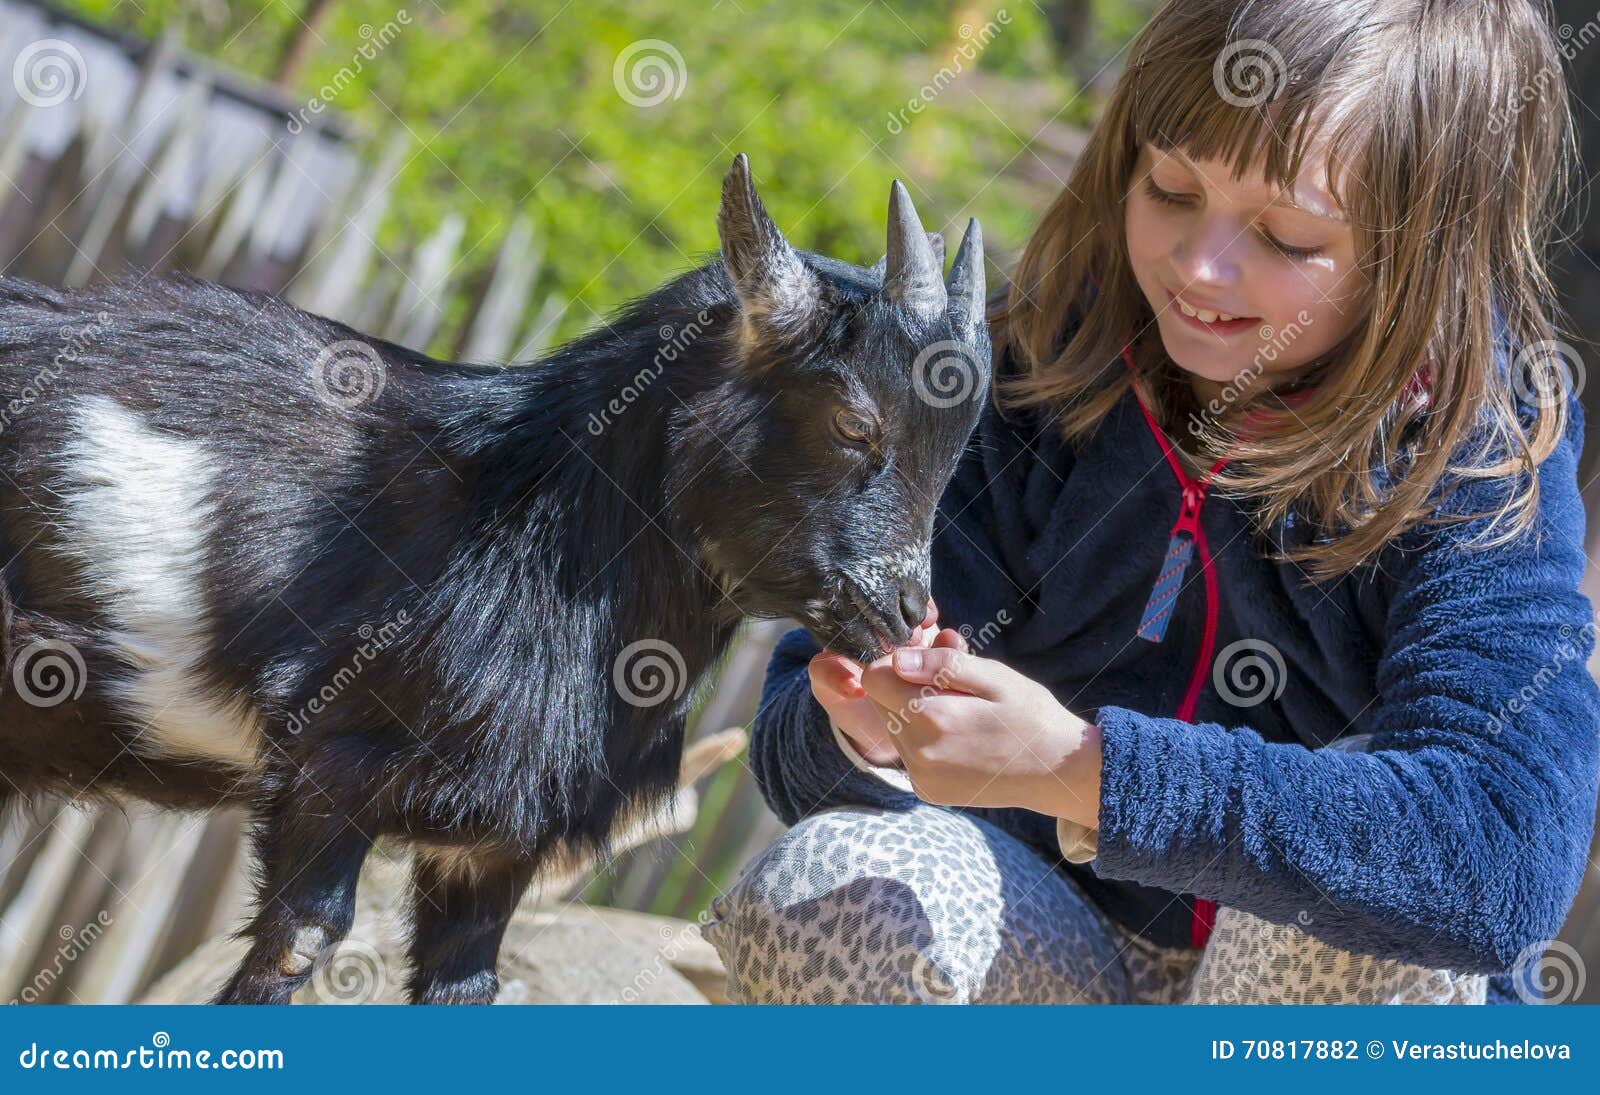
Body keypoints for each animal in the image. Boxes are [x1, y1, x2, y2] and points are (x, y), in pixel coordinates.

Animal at [0, 154, 990, 1004]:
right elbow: (298, 946)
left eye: (957, 453)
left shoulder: (494, 847)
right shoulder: (329, 769)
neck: (519, 528)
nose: (906, 614)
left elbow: (468, 983)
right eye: (853, 422)